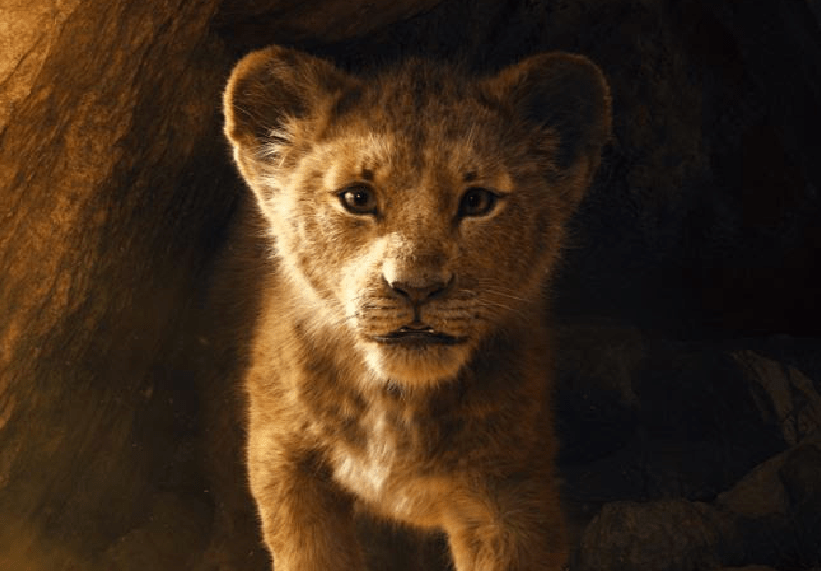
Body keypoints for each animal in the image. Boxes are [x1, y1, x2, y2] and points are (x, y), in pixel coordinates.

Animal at [222, 45, 611, 571]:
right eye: (357, 198)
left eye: (478, 201)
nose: (417, 287)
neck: (398, 403)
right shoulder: (284, 460)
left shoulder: (513, 494)